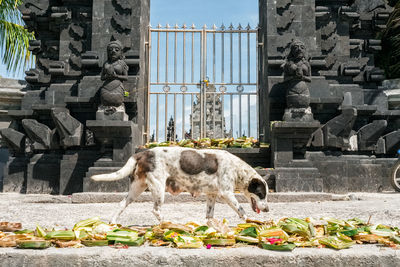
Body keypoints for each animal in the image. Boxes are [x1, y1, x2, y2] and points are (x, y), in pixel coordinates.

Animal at [91, 147, 268, 224]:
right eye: (261, 194)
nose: (267, 210)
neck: (238, 169)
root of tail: (144, 152)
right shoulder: (227, 194)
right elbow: (241, 210)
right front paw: (251, 221)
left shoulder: (212, 195)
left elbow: (209, 215)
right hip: (158, 188)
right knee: (156, 210)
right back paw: (167, 224)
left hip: (137, 188)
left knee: (122, 203)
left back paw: (113, 222)